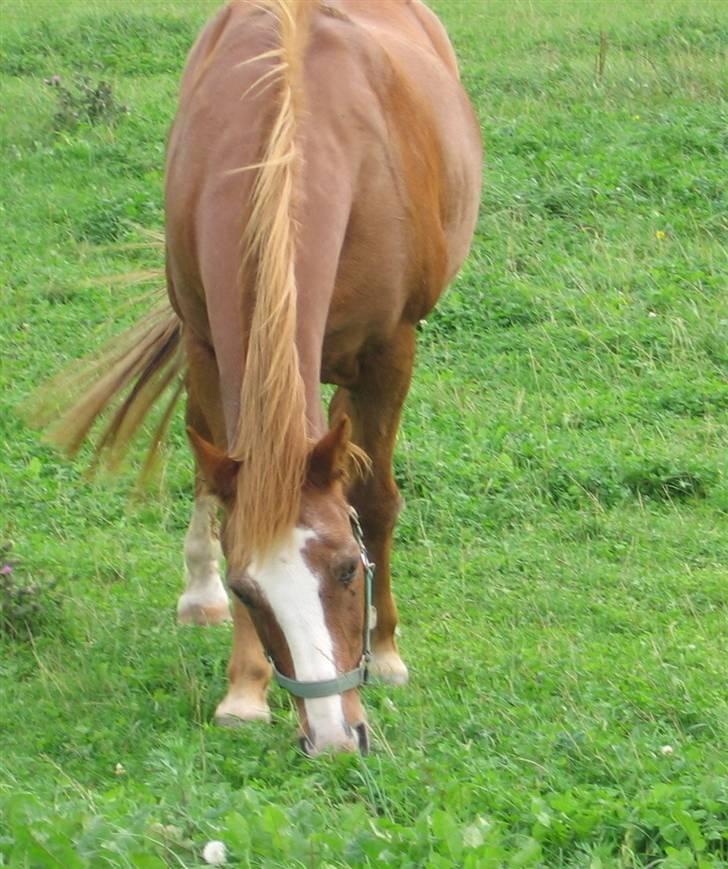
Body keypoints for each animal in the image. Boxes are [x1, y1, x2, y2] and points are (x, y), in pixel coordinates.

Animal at [34, 0, 480, 752]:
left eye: (346, 567)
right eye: (250, 590)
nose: (333, 736)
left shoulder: (391, 349)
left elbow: (375, 498)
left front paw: (388, 651)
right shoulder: (208, 344)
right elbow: (224, 502)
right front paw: (244, 689)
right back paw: (197, 594)